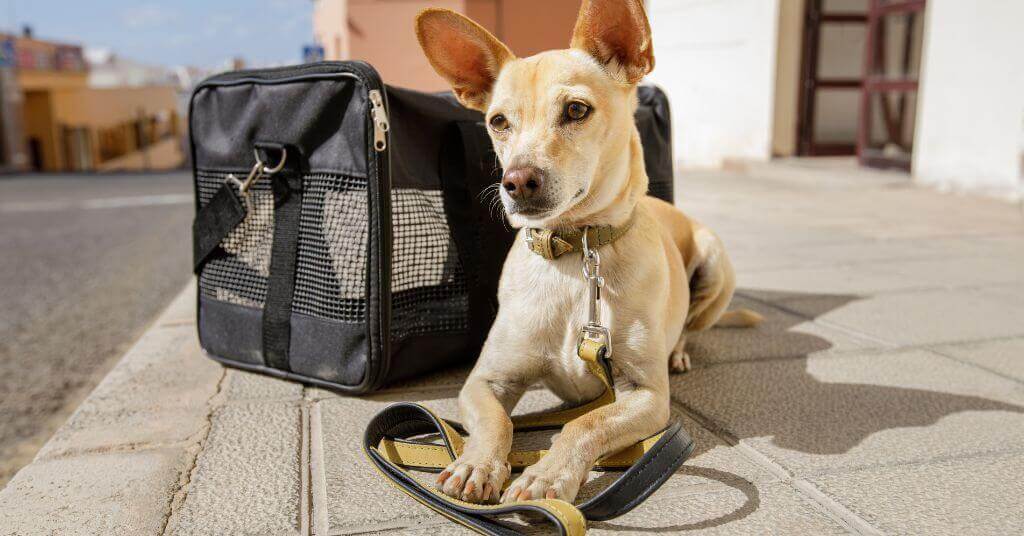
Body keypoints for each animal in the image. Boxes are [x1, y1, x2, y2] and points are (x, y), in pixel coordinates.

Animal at [415, 0, 761, 506]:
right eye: (498, 122)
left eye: (576, 110)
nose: (516, 181)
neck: (574, 254)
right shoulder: (484, 381)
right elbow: (496, 422)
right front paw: (476, 463)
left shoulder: (646, 395)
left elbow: (585, 423)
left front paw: (546, 476)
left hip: (716, 267)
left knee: (689, 327)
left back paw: (678, 351)